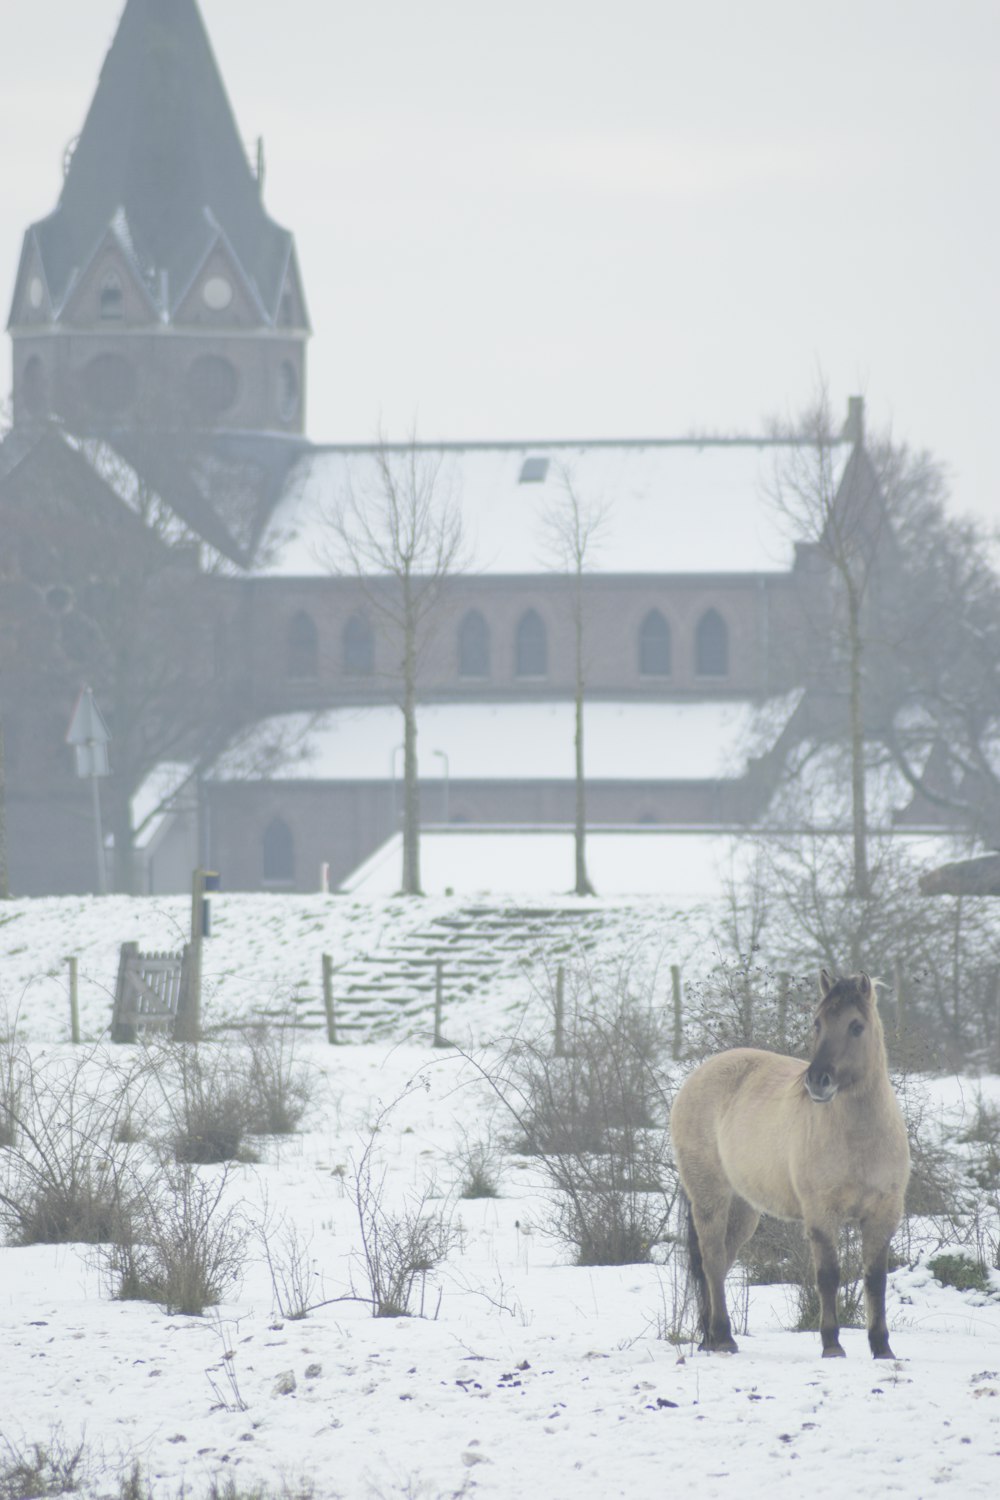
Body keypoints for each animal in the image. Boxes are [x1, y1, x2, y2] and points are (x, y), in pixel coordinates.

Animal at [671, 972, 917, 1362]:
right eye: (818, 1023)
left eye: (856, 1026)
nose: (818, 1081)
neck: (860, 1138)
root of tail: (700, 1074)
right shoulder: (821, 1214)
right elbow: (828, 1275)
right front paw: (832, 1346)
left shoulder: (884, 1214)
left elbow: (875, 1279)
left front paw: (882, 1349)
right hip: (710, 1196)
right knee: (711, 1260)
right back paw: (723, 1337)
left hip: (743, 1210)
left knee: (721, 1264)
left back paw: (710, 1338)